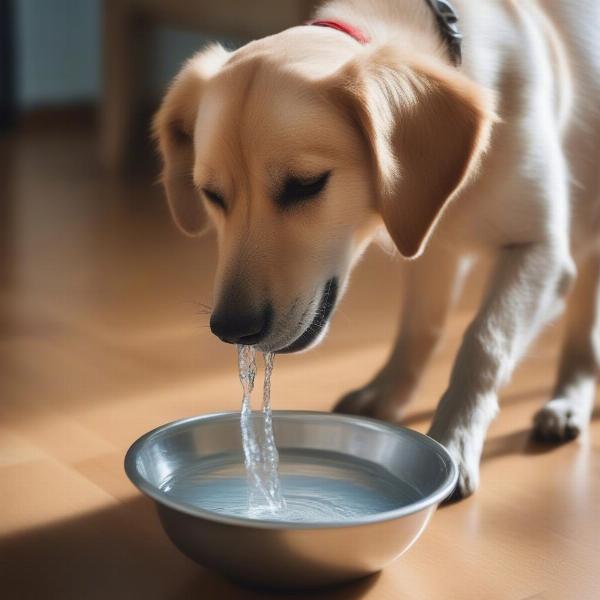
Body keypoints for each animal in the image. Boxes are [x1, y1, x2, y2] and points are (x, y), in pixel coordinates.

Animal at [154, 0, 600, 496]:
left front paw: (456, 438)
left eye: (305, 185)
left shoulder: (541, 252)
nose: (232, 328)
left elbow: (484, 342)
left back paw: (568, 401)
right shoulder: (432, 248)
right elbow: (418, 328)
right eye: (211, 195)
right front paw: (388, 393)